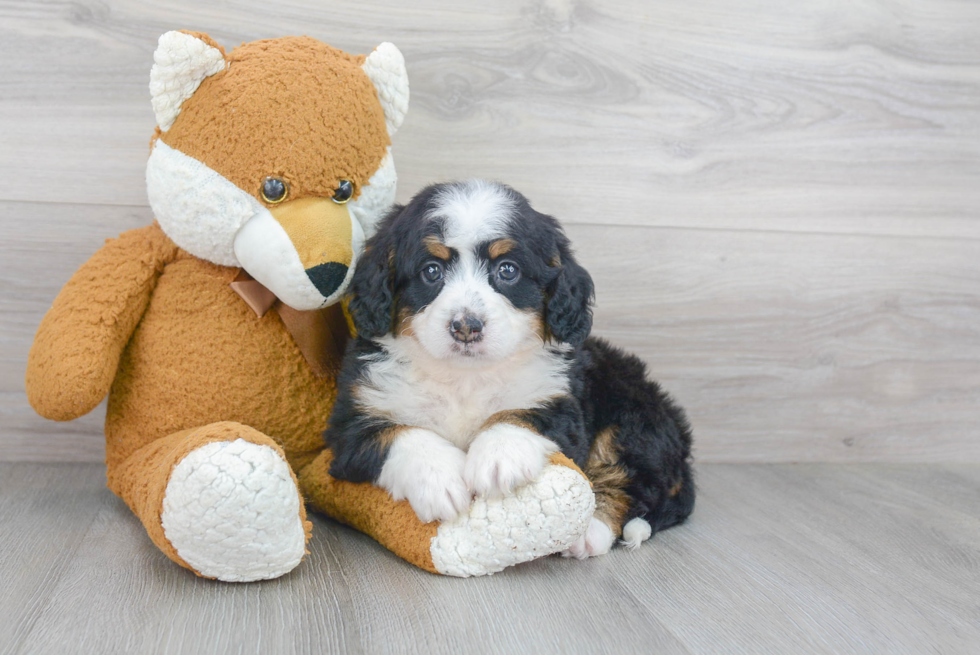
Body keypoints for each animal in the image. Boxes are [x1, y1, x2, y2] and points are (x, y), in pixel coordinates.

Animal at [326, 181, 692, 560]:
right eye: (431, 271)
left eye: (507, 270)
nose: (466, 326)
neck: (464, 378)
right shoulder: (353, 421)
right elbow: (402, 434)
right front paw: (439, 479)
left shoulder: (557, 401)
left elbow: (516, 414)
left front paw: (499, 457)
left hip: (631, 415)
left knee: (627, 478)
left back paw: (591, 528)